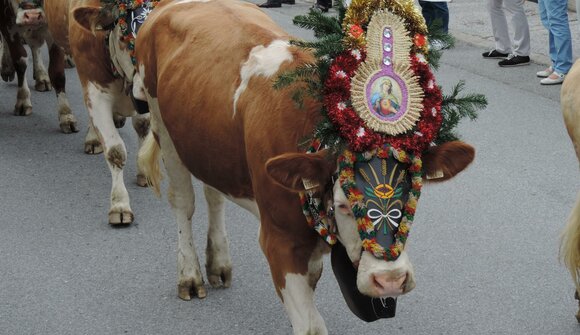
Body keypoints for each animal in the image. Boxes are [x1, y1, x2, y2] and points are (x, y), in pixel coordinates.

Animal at [0, 0, 78, 133]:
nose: (33, 16)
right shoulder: (7, 23)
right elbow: (20, 62)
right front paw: (23, 100)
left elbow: (57, 73)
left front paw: (66, 116)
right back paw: (6, 67)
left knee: (34, 44)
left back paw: (41, 76)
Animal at [73, 0, 480, 332]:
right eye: (344, 203)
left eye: (413, 197)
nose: (390, 281)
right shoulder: (279, 240)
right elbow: (311, 327)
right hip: (163, 125)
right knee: (183, 203)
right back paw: (190, 275)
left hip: (209, 142)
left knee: (214, 193)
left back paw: (218, 263)